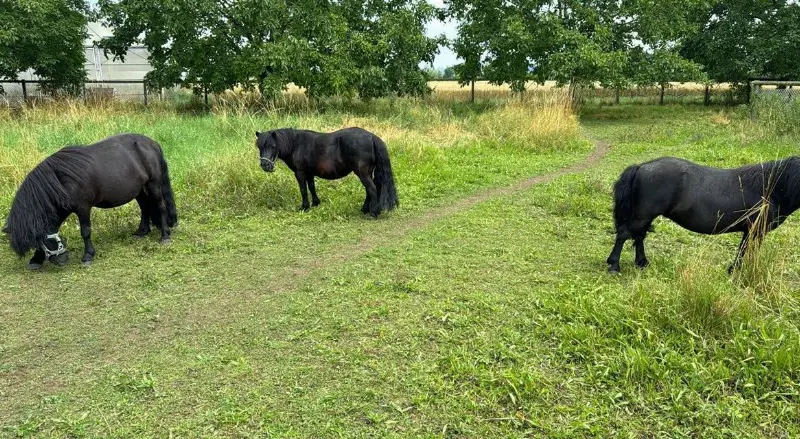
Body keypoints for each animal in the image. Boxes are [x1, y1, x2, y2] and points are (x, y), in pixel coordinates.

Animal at [3, 133, 178, 269]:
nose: (62, 259)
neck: (61, 181)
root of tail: (152, 143)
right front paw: (36, 260)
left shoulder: (83, 207)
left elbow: (85, 232)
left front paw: (87, 256)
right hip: (139, 190)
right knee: (145, 207)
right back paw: (141, 232)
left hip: (154, 185)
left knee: (160, 206)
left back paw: (164, 236)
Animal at [255, 127, 399, 217]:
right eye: (259, 146)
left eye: (273, 146)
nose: (265, 165)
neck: (297, 145)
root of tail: (371, 136)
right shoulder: (309, 173)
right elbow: (311, 187)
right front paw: (315, 203)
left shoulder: (300, 173)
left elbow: (303, 190)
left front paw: (304, 207)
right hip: (367, 173)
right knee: (369, 190)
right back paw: (364, 209)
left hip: (362, 173)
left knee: (372, 189)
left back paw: (373, 213)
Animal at [606, 156, 800, 274]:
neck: (769, 188)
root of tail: (643, 166)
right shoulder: (756, 229)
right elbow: (747, 250)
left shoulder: (749, 230)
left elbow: (743, 250)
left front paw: (734, 270)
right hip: (642, 217)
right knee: (624, 234)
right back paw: (614, 265)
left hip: (644, 217)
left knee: (638, 237)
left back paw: (642, 263)